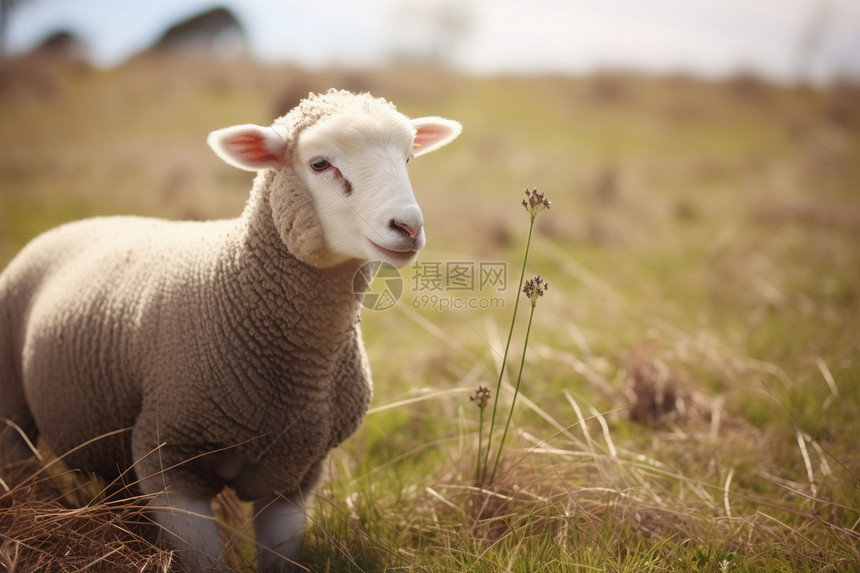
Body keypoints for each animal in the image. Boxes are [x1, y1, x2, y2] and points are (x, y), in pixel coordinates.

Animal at [0, 89, 460, 572]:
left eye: (408, 159)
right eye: (319, 164)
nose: (408, 227)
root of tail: (82, 221)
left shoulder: (294, 472)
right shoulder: (170, 457)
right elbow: (203, 558)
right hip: (12, 404)